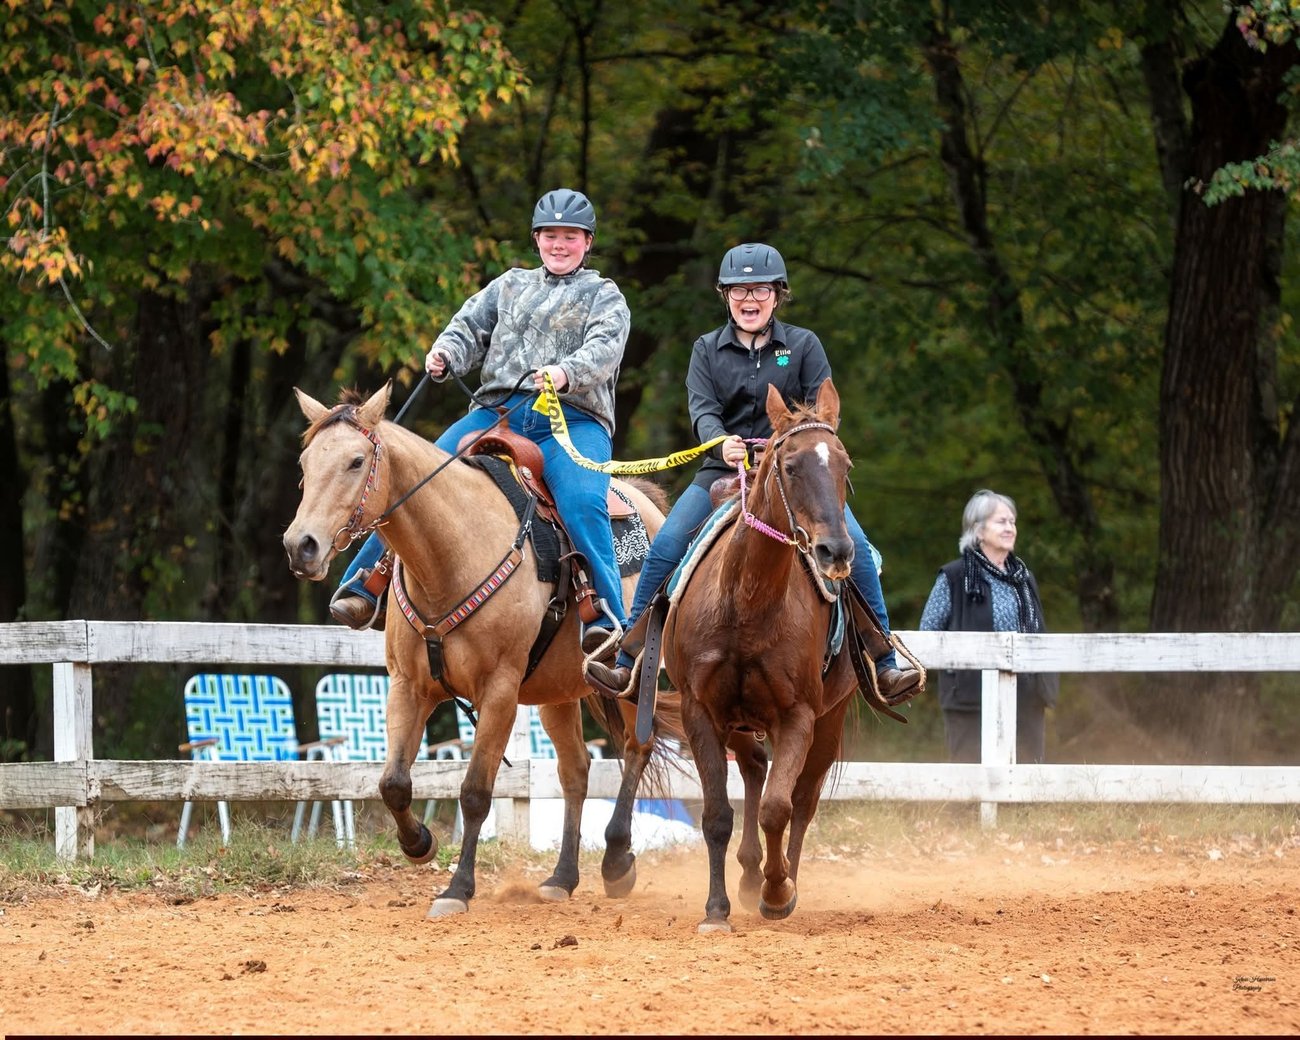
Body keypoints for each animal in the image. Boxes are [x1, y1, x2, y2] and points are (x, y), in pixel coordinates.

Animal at [283, 382, 678, 918]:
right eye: (305, 462)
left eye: (356, 460)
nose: (300, 545)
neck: (451, 554)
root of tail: (652, 508)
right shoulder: (408, 685)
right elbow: (393, 783)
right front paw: (419, 844)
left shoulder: (500, 693)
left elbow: (474, 793)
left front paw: (457, 888)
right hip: (557, 693)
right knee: (575, 771)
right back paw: (561, 878)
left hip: (635, 678)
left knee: (637, 749)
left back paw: (617, 860)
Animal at [660, 378, 860, 933]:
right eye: (790, 466)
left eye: (844, 465)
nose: (836, 552)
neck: (747, 604)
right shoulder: (699, 711)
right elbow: (716, 815)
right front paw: (716, 909)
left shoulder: (799, 715)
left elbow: (778, 807)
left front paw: (778, 892)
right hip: (740, 720)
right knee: (752, 770)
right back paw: (750, 874)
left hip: (829, 718)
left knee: (802, 799)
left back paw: (780, 877)